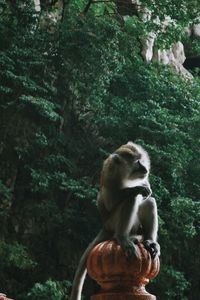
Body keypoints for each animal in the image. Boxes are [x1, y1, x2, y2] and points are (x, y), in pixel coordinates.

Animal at [69, 142, 160, 300]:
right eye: (137, 163)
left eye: (142, 161)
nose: (145, 169)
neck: (124, 173)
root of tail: (105, 225)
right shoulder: (110, 172)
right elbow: (111, 201)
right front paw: (137, 188)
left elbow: (147, 196)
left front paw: (146, 188)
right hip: (112, 222)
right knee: (131, 199)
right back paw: (122, 238)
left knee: (149, 202)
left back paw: (149, 241)